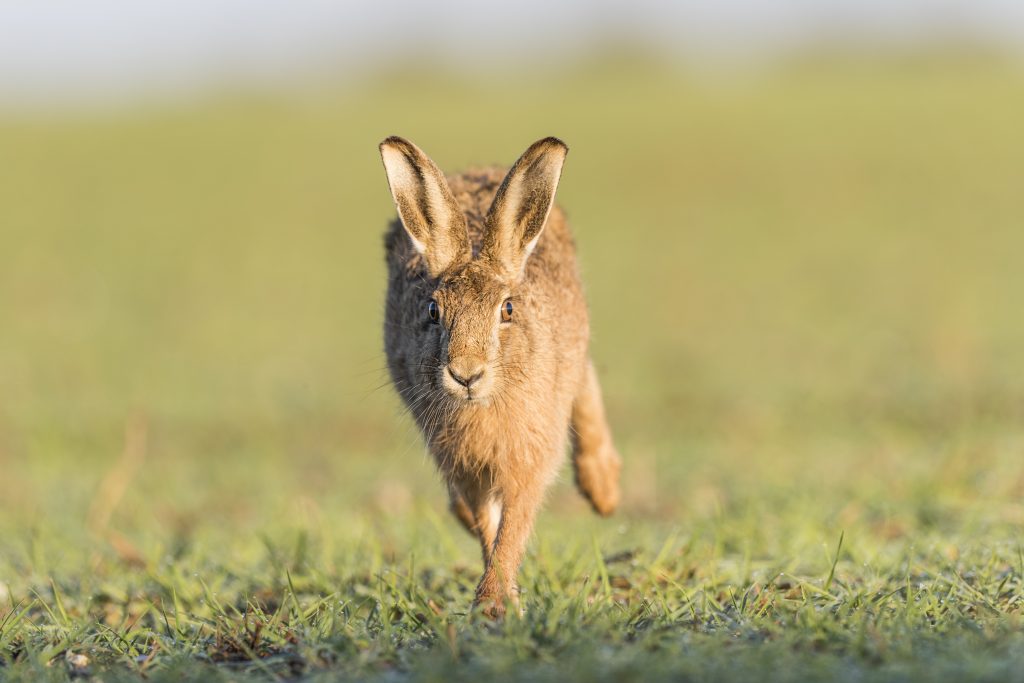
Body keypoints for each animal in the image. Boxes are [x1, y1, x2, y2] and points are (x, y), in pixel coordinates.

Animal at [379, 136, 622, 618]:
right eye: (432, 311)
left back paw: (604, 490)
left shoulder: (531, 454)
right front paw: (498, 601)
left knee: (584, 379)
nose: (465, 373)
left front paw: (494, 600)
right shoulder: (464, 464)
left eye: (507, 310)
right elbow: (488, 524)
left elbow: (513, 525)